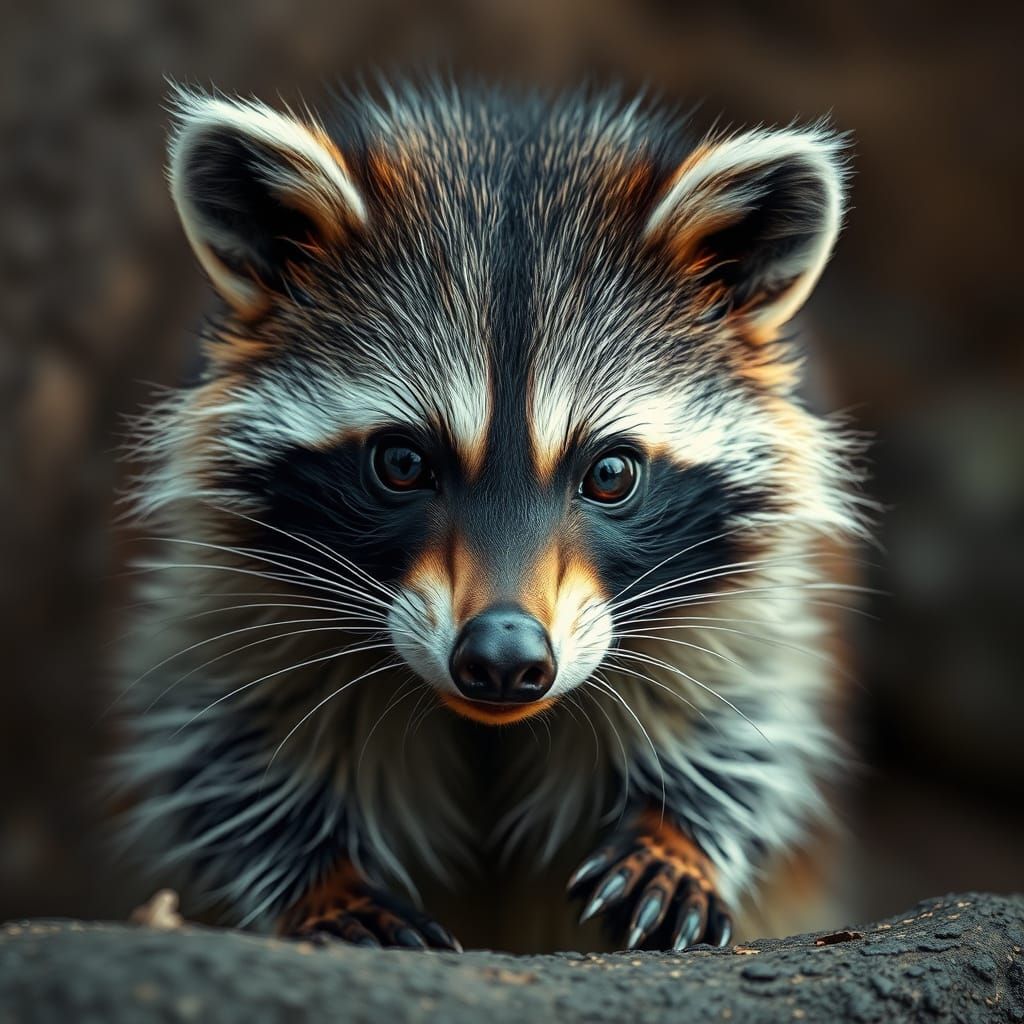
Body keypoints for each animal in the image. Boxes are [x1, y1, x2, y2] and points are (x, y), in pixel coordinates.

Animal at [118, 80, 865, 954]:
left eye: (610, 474)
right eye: (402, 463)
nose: (504, 657)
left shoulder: (759, 582)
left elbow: (747, 703)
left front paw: (675, 832)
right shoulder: (223, 569)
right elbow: (225, 729)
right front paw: (324, 879)